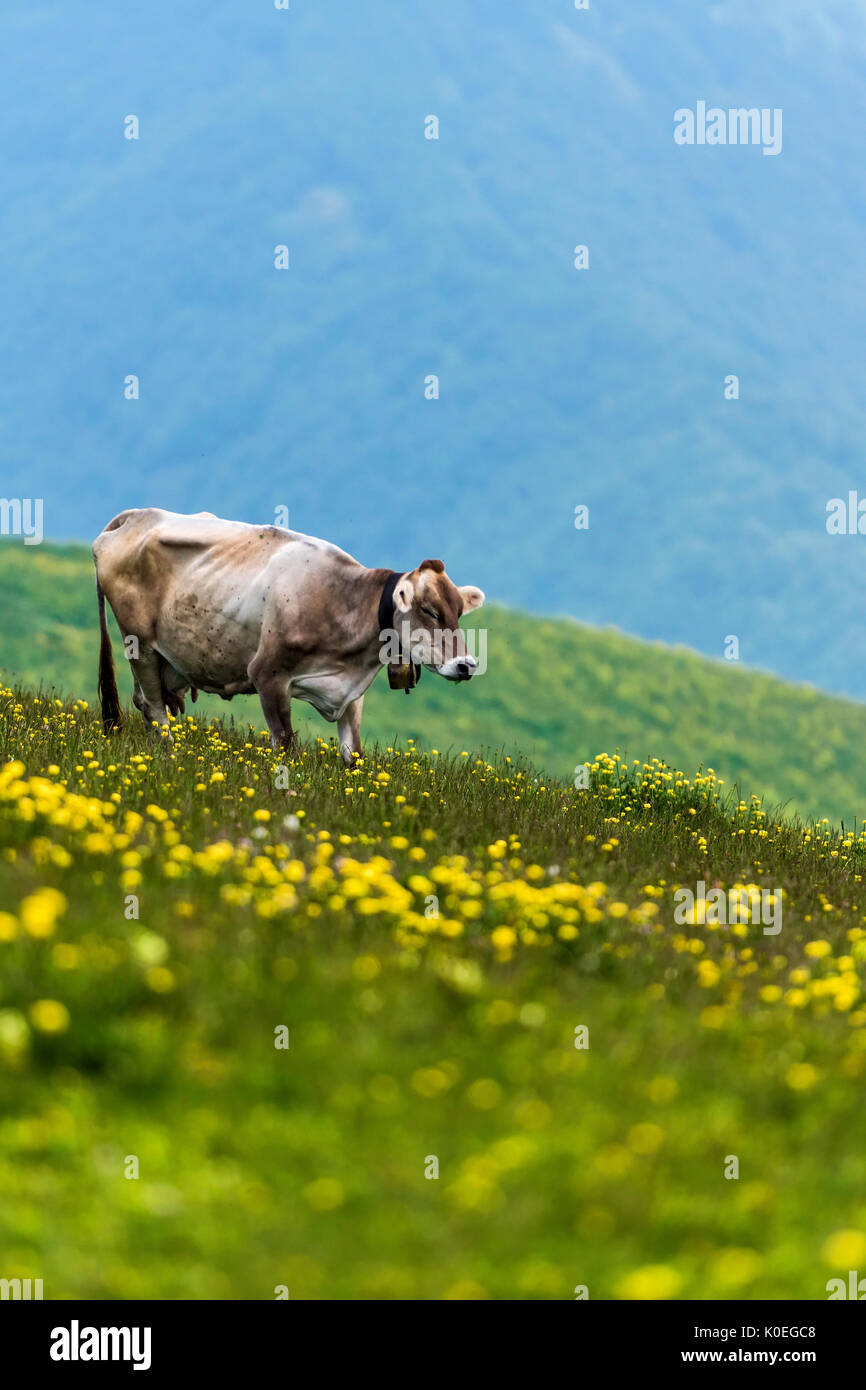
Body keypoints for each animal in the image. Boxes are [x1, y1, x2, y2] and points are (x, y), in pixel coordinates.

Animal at [96, 508, 489, 767]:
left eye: (458, 612)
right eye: (430, 611)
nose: (466, 665)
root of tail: (138, 515)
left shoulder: (351, 694)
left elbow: (354, 755)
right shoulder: (268, 674)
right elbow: (285, 746)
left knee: (144, 701)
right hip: (139, 643)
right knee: (154, 709)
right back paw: (171, 753)